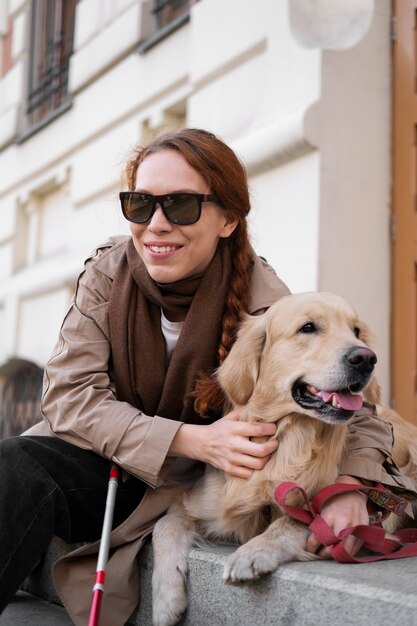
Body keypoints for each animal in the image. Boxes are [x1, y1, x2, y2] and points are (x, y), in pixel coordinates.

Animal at [151, 292, 416, 624]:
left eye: (356, 331)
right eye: (308, 328)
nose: (366, 358)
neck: (288, 443)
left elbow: (291, 522)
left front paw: (253, 552)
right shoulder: (193, 502)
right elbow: (163, 527)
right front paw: (165, 600)